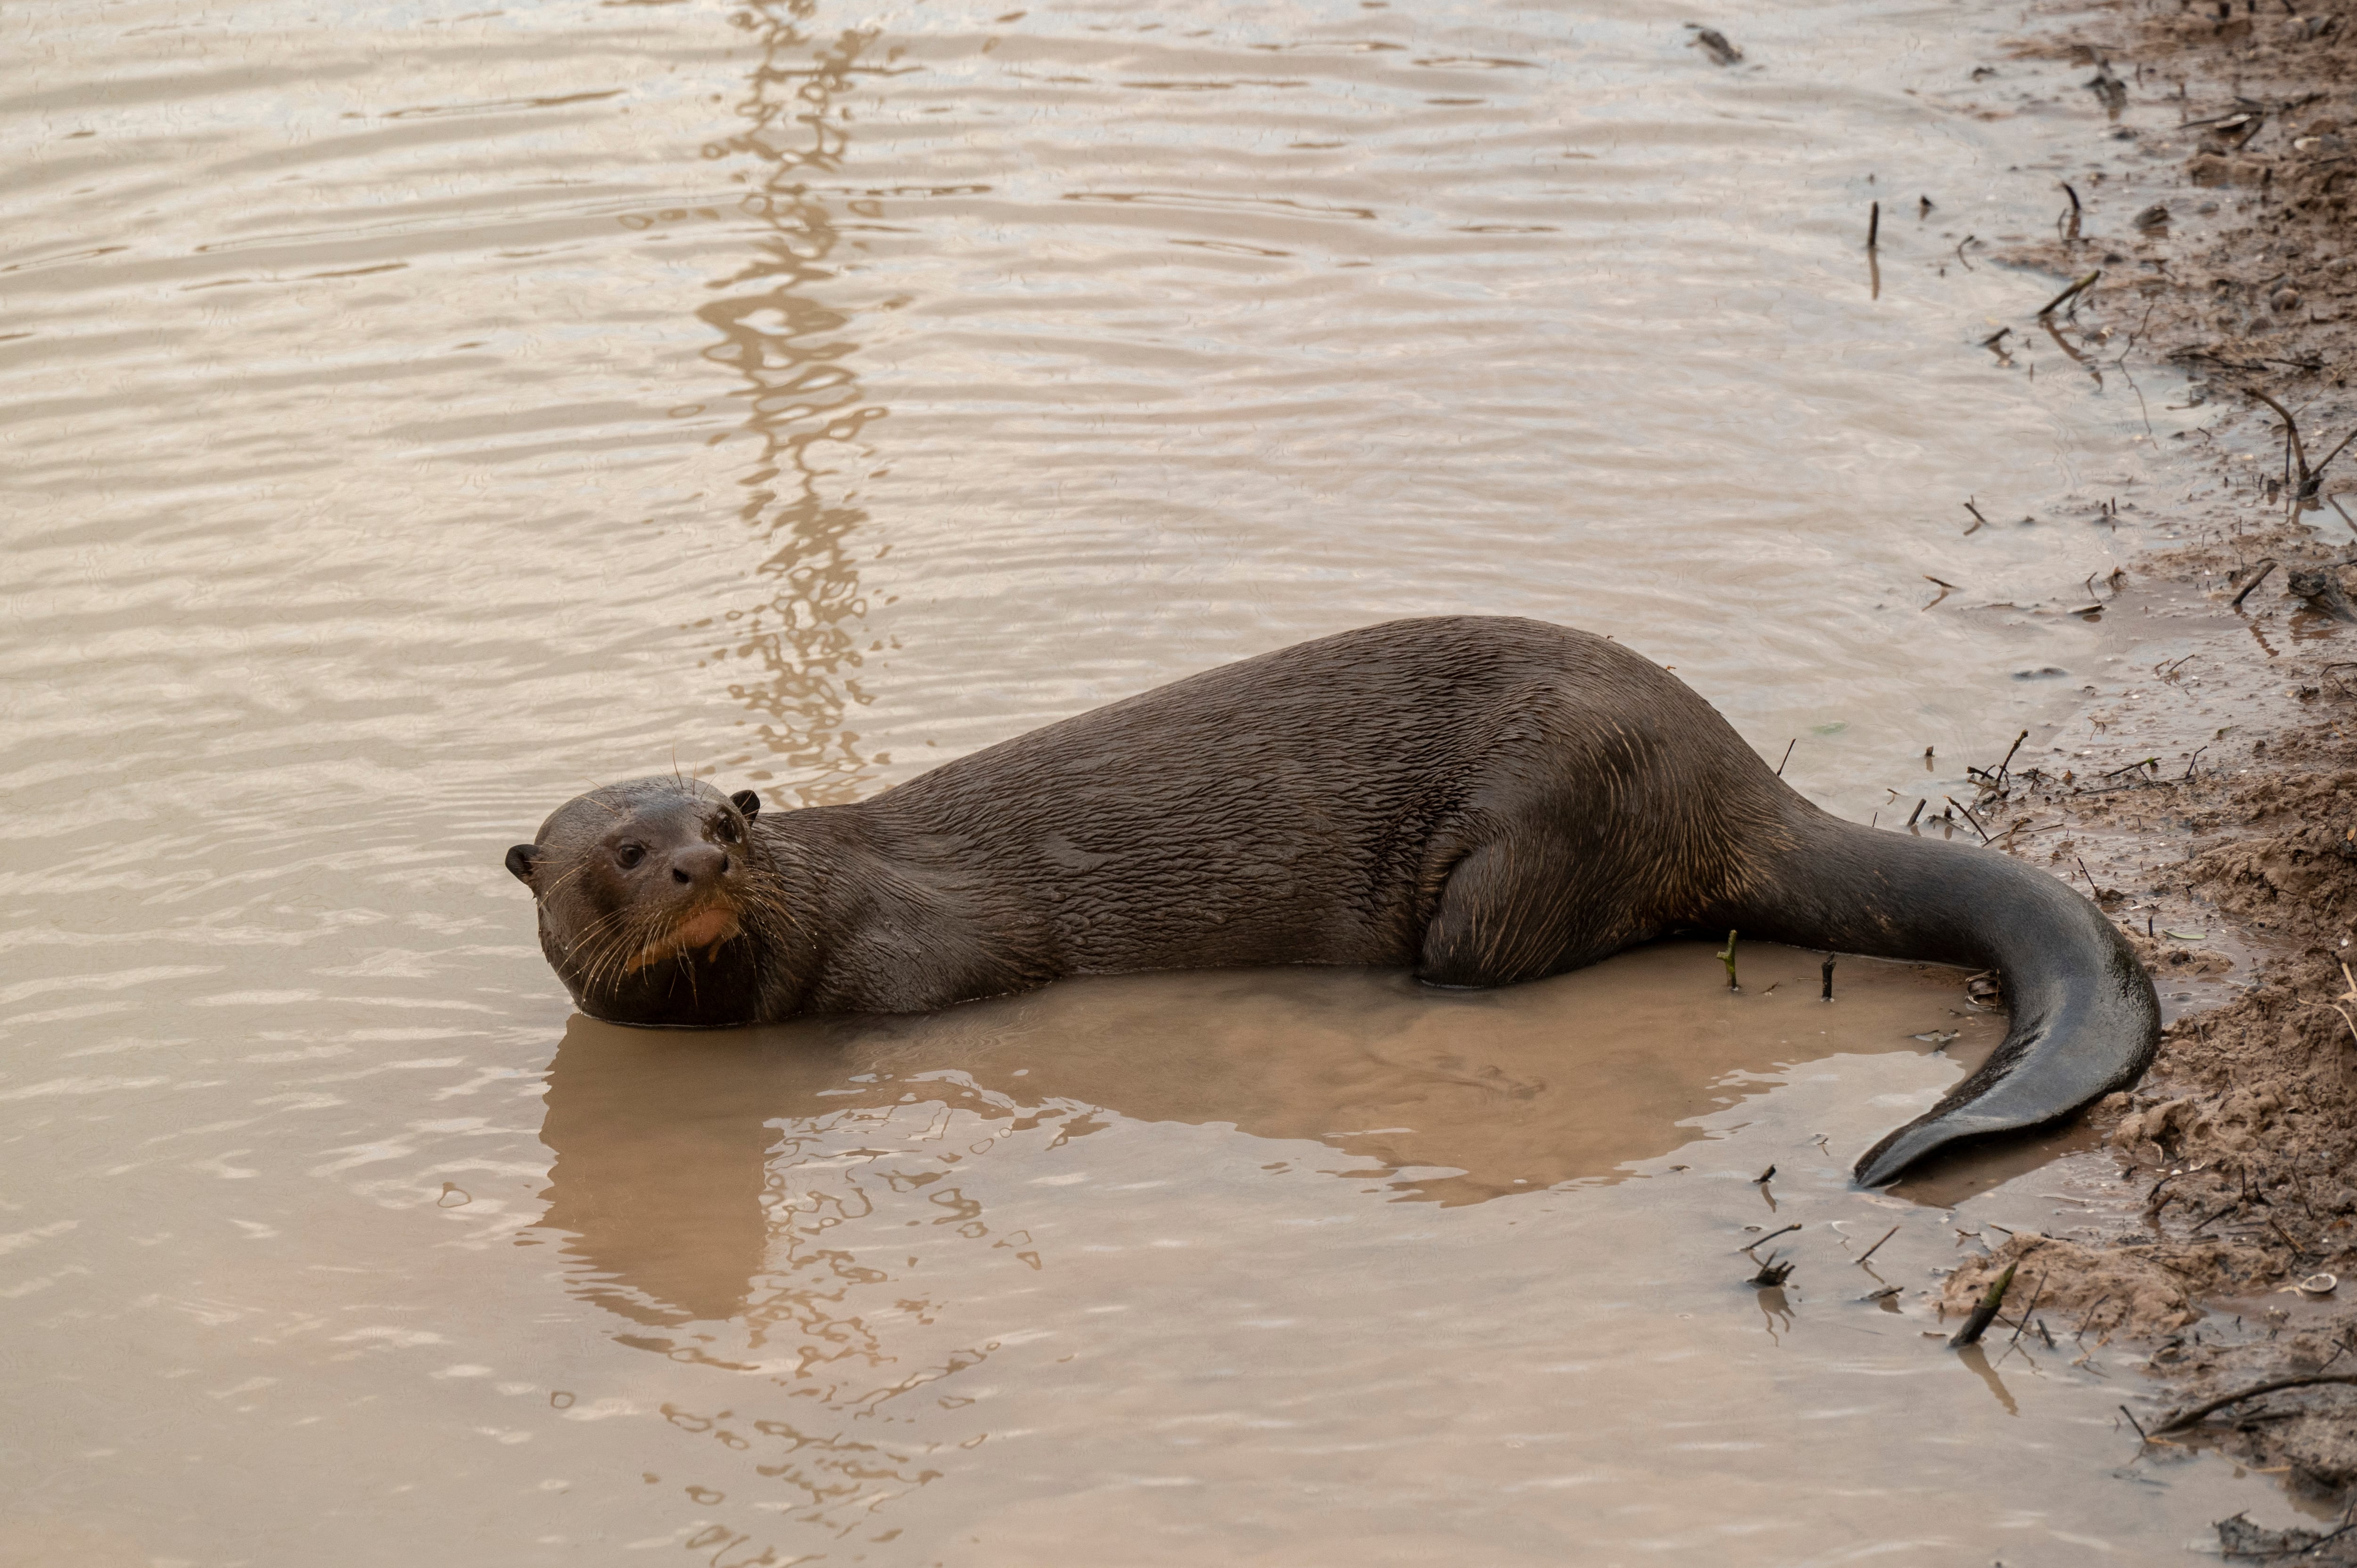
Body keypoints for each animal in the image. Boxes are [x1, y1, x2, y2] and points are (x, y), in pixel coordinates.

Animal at [511, 617, 2159, 1179]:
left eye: (719, 818)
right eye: (619, 849)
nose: (703, 863)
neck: (825, 897)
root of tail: (1728, 774)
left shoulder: (917, 946)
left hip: (1537, 818)